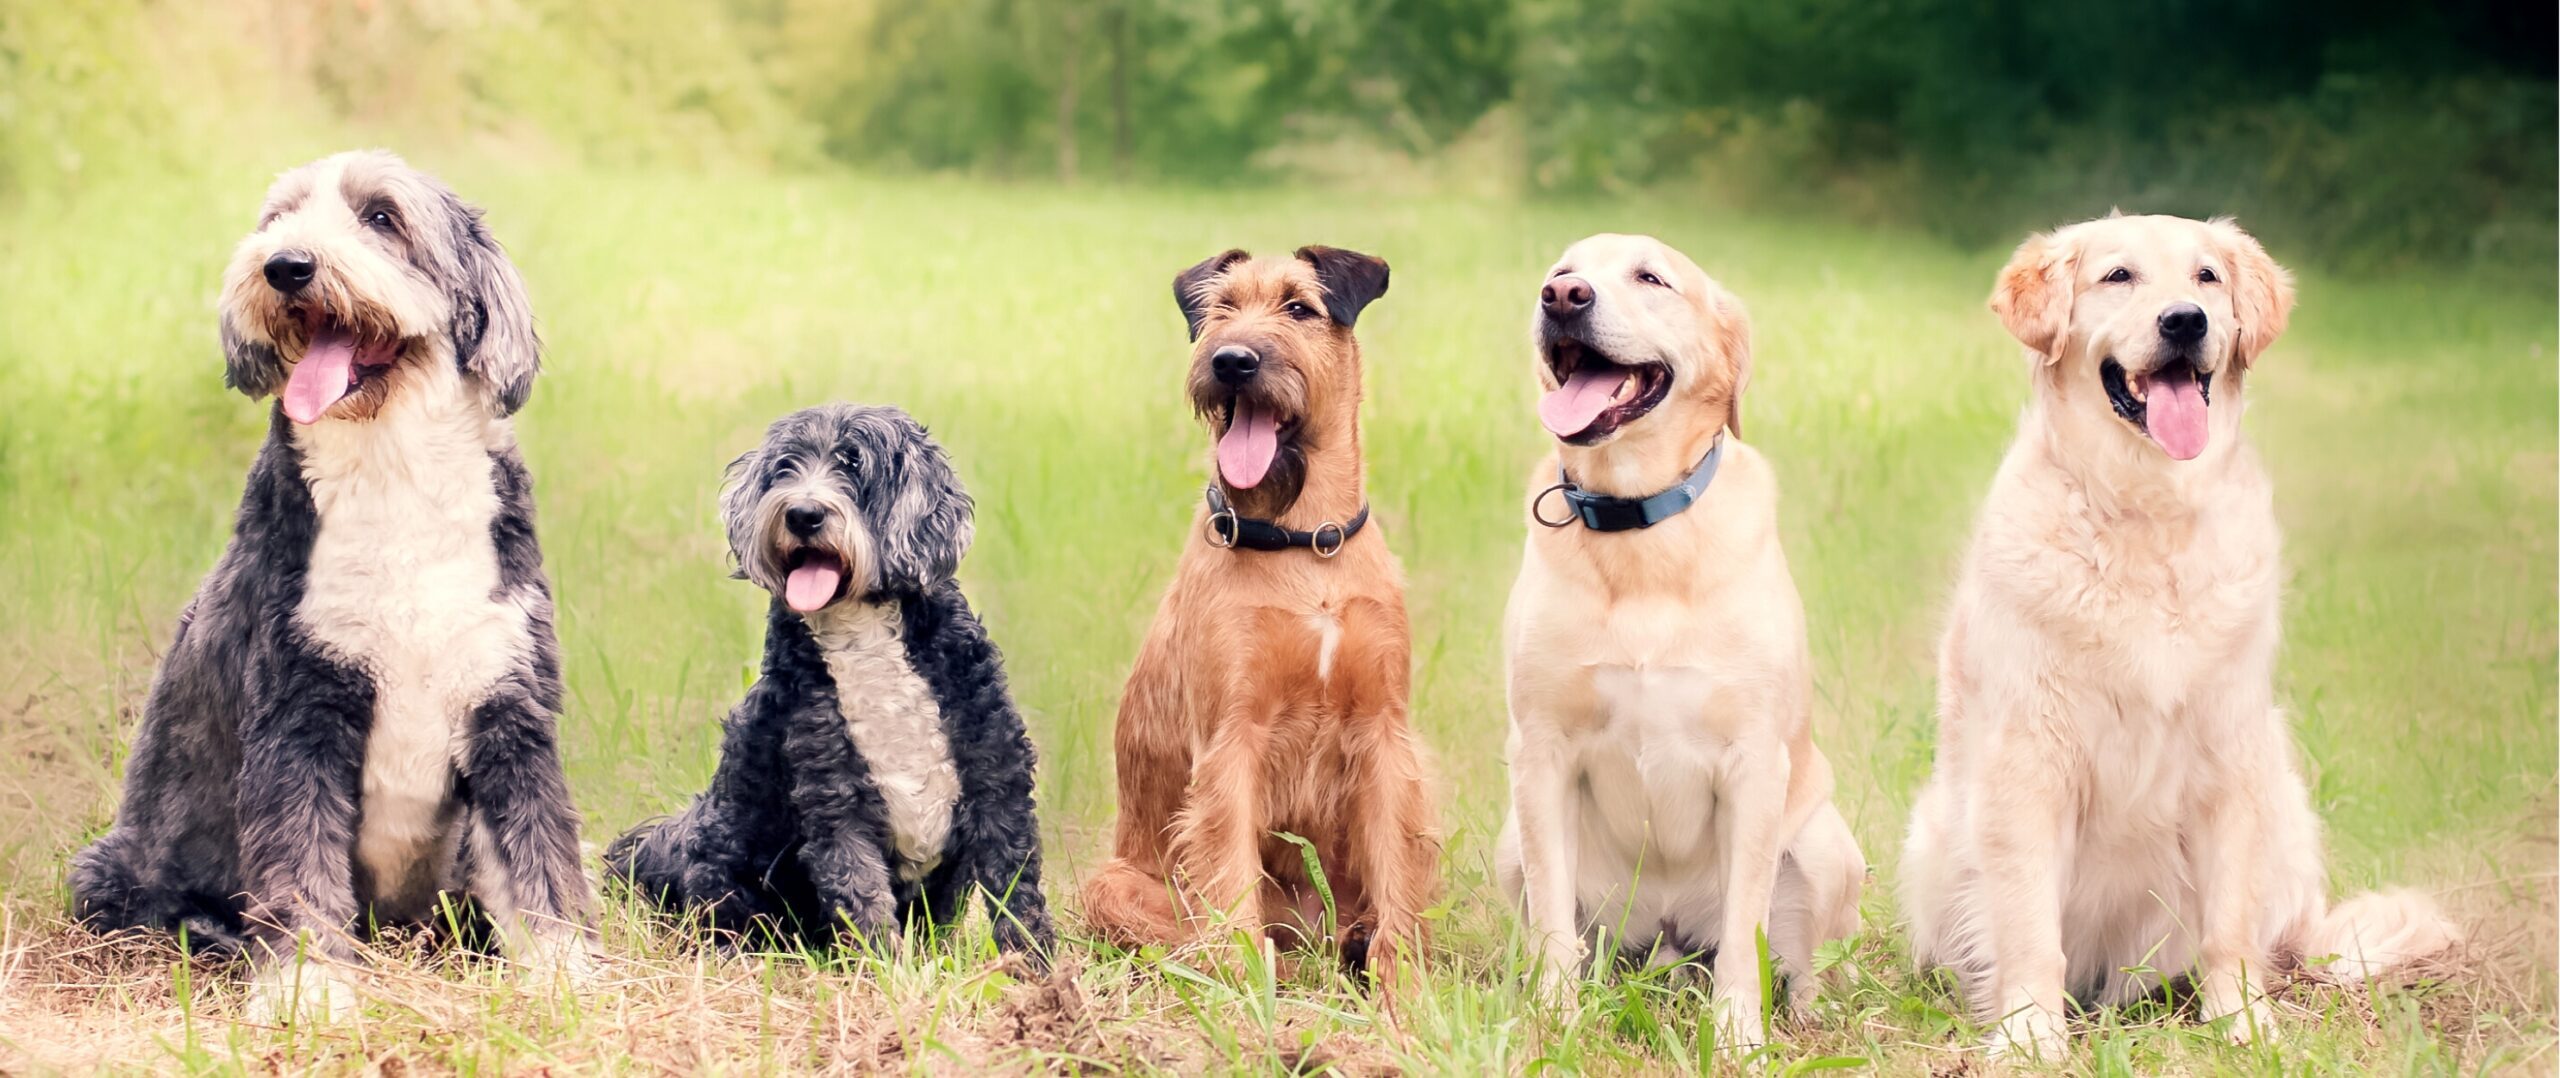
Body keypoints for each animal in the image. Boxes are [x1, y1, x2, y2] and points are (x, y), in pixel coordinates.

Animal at [68, 151, 593, 1019]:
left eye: (382, 217)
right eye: (279, 218)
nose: (286, 266)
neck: (394, 472)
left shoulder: (507, 707)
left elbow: (539, 855)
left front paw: (564, 977)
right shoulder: (298, 711)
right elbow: (300, 868)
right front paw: (307, 992)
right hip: (107, 871)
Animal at [604, 404, 1054, 967]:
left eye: (853, 465)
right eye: (784, 468)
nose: (802, 513)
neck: (861, 632)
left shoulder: (998, 778)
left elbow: (1015, 885)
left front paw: (1036, 967)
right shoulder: (834, 799)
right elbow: (860, 894)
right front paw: (886, 972)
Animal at [1080, 245, 1443, 983]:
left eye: (1299, 307)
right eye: (1222, 308)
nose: (1231, 361)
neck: (1305, 543)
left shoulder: (1384, 733)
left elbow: (1397, 875)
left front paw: (1403, 989)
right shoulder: (1233, 739)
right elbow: (1229, 879)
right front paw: (1247, 988)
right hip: (1110, 884)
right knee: (1185, 929)